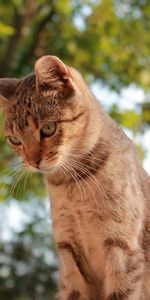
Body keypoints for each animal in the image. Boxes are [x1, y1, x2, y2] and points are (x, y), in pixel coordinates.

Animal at [0, 55, 149, 298]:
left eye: (48, 128)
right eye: (14, 139)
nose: (32, 161)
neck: (72, 184)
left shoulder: (122, 246)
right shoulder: (68, 250)